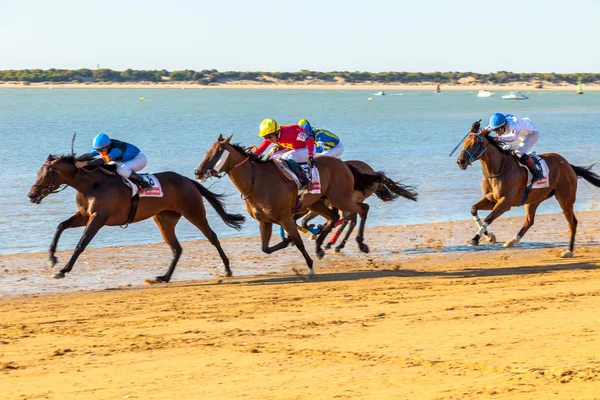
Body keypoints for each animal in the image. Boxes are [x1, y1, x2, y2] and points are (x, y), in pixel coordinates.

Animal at [29, 153, 245, 282]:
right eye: (38, 172)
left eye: (48, 173)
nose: (32, 195)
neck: (93, 184)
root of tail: (188, 180)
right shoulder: (84, 216)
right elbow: (60, 226)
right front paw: (52, 258)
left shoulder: (98, 218)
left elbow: (81, 244)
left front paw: (63, 269)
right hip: (164, 220)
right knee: (177, 248)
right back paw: (163, 277)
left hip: (194, 212)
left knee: (212, 237)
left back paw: (227, 268)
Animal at [197, 134, 418, 276]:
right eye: (206, 151)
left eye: (217, 152)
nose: (198, 172)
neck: (257, 180)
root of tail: (347, 165)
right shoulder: (265, 221)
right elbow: (266, 248)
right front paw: (291, 241)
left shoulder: (286, 217)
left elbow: (298, 240)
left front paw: (310, 266)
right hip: (319, 203)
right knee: (336, 218)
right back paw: (322, 245)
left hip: (341, 199)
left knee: (359, 212)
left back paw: (358, 243)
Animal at [454, 119, 600, 256]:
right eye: (464, 143)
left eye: (474, 144)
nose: (460, 161)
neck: (499, 169)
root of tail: (568, 165)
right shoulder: (491, 199)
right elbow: (474, 209)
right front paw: (490, 237)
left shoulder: (505, 202)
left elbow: (489, 217)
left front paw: (475, 238)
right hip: (534, 200)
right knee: (529, 221)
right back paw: (512, 241)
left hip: (565, 199)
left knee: (572, 223)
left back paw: (569, 251)